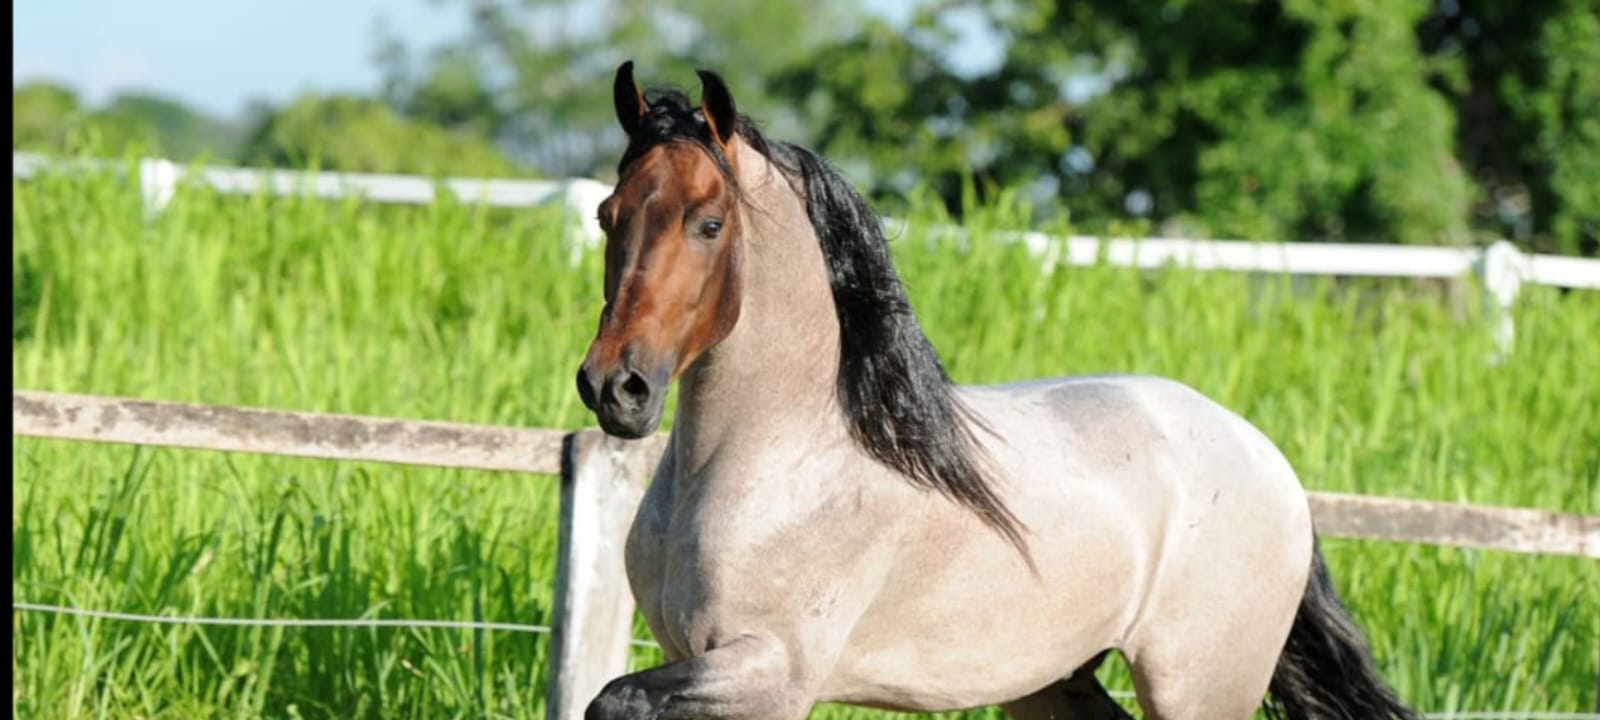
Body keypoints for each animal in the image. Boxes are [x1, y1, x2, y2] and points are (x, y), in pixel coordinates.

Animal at [574, 61, 1420, 720]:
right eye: (608, 215)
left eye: (709, 222)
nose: (616, 388)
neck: (780, 461)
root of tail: (1266, 458)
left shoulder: (770, 672)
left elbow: (614, 697)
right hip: (1053, 680)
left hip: (1201, 686)